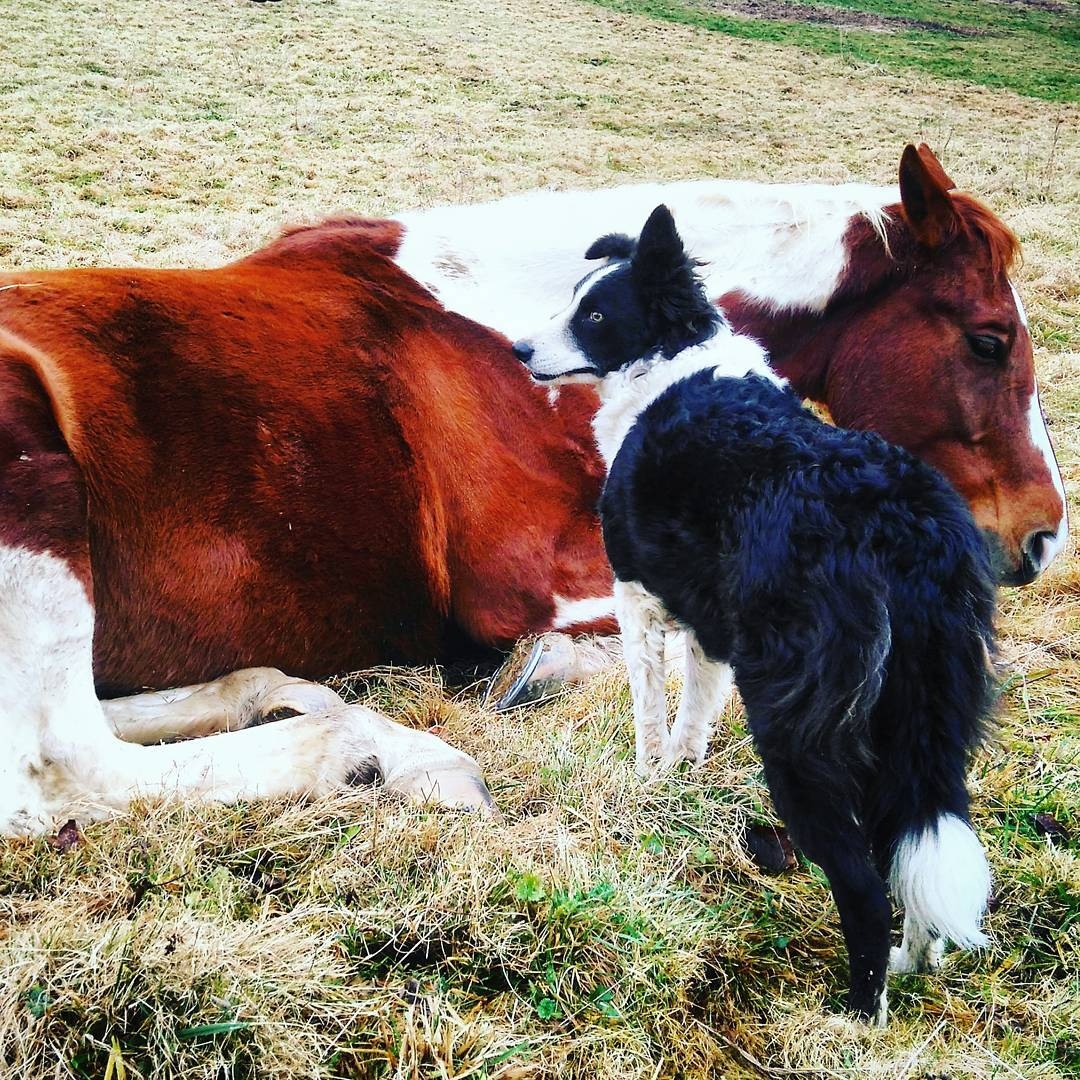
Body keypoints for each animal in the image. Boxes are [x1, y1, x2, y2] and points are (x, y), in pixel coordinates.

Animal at [510, 204, 997, 1025]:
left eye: (596, 314)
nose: (517, 348)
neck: (671, 357)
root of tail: (903, 522)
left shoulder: (636, 598)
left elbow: (651, 712)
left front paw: (646, 782)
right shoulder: (712, 627)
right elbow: (695, 719)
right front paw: (679, 782)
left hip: (799, 726)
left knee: (863, 884)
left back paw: (858, 1014)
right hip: (918, 716)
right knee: (914, 836)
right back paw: (915, 961)